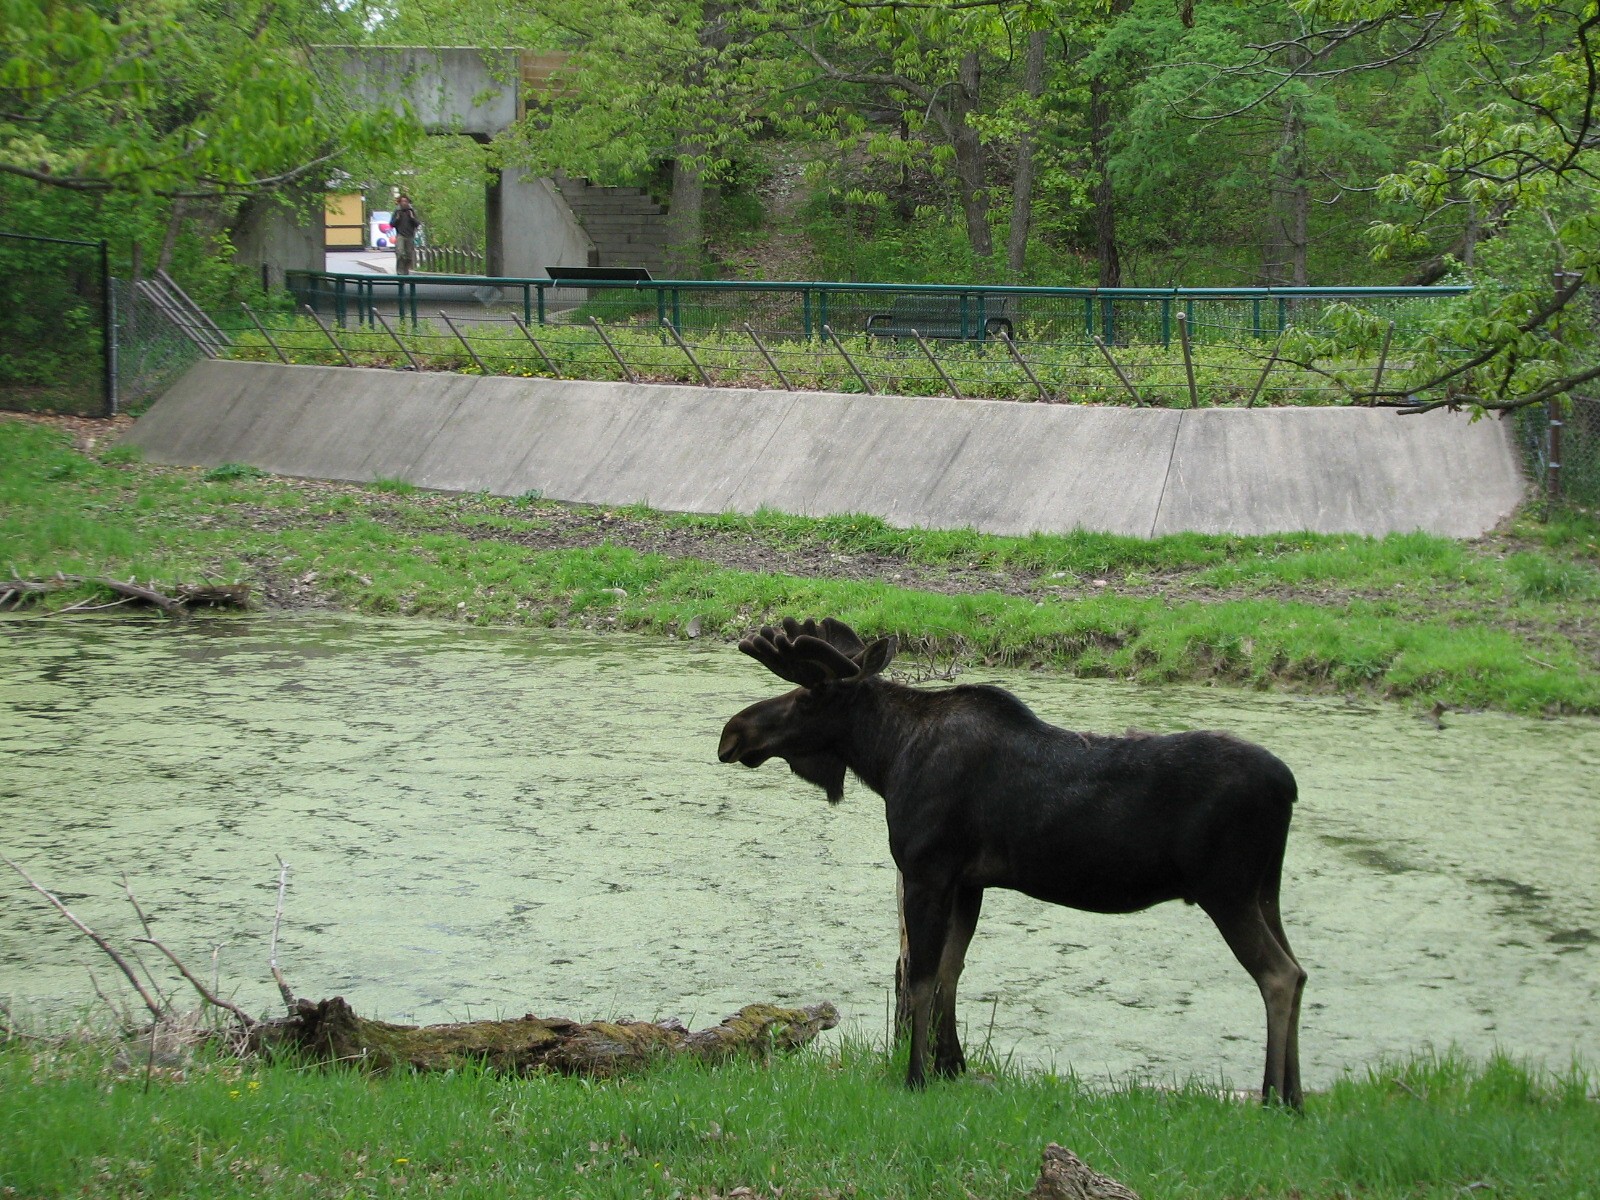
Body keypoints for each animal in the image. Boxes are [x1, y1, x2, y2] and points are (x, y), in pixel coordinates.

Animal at [717, 617, 1307, 1107]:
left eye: (808, 694)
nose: (733, 732)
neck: (886, 758)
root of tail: (1290, 787)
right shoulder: (970, 882)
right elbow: (952, 970)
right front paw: (951, 1066)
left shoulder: (927, 869)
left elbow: (921, 977)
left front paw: (916, 1076)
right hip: (1266, 890)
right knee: (1299, 971)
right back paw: (1295, 1097)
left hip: (1225, 890)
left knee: (1278, 975)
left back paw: (1273, 1099)